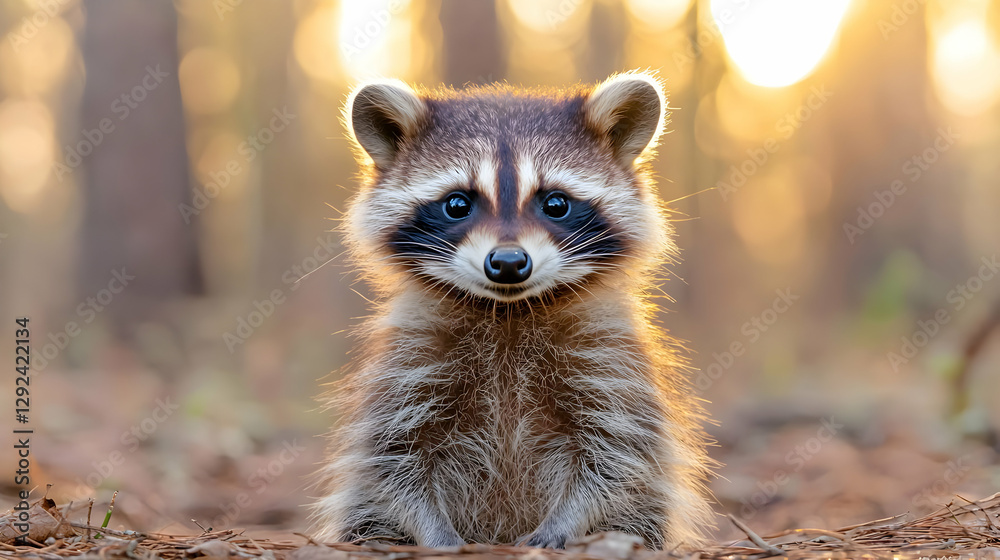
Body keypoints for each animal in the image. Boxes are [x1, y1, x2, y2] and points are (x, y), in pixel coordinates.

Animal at [311, 71, 714, 549]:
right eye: (458, 204)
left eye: (555, 203)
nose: (507, 263)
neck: (509, 311)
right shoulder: (410, 362)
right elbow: (394, 454)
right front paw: (435, 533)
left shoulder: (610, 361)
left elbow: (617, 453)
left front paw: (564, 523)